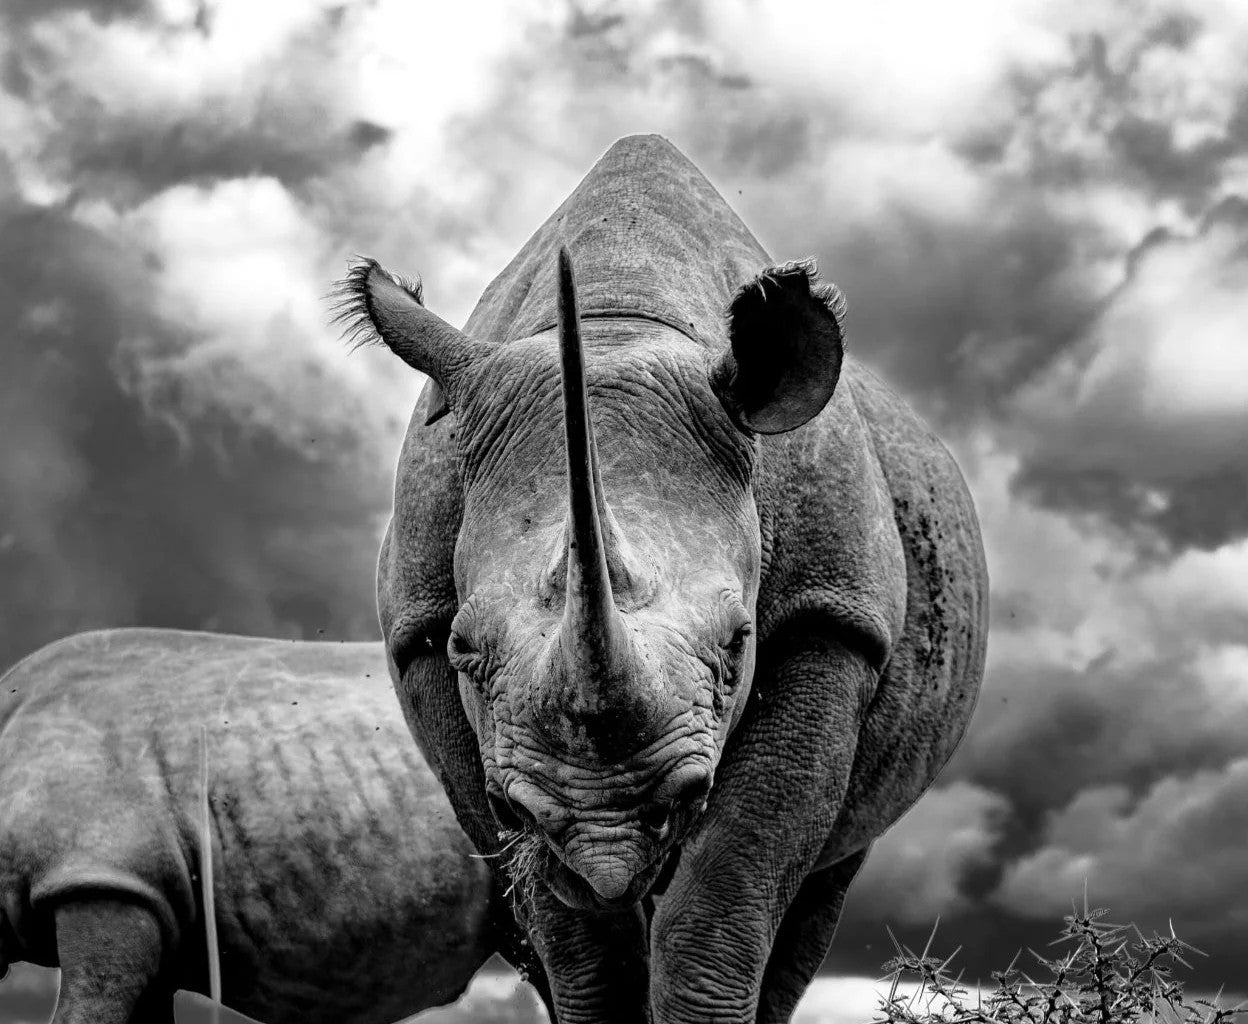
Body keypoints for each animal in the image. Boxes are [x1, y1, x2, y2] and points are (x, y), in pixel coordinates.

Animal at [338, 134, 988, 1023]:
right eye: (467, 647)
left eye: (740, 641)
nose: (609, 832)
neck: (614, 325)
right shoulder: (422, 635)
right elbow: (571, 936)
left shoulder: (833, 617)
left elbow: (728, 888)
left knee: (824, 878)